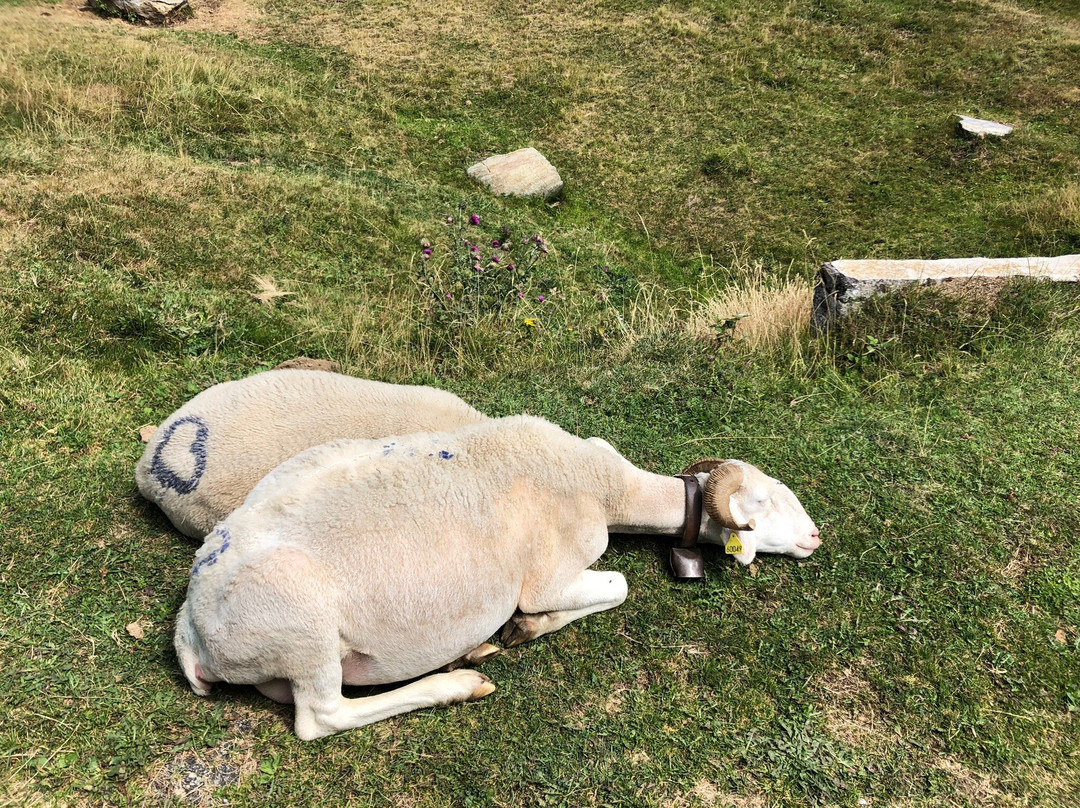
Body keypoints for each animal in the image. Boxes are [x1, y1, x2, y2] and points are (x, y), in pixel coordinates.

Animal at [177, 416, 816, 738]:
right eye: (767, 501)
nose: (815, 537)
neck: (607, 485)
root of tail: (192, 631)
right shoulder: (553, 571)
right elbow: (617, 587)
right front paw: (525, 627)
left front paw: (516, 633)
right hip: (300, 627)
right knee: (322, 717)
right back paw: (458, 682)